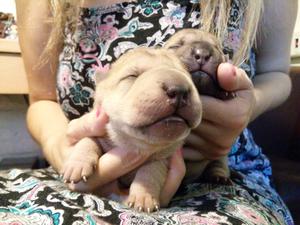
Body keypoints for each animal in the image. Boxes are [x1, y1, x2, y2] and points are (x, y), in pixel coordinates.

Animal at [62, 48, 202, 213]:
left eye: (187, 77)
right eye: (132, 76)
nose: (179, 89)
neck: (135, 143)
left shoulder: (164, 156)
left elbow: (151, 170)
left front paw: (144, 197)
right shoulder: (98, 128)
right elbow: (88, 140)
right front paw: (76, 165)